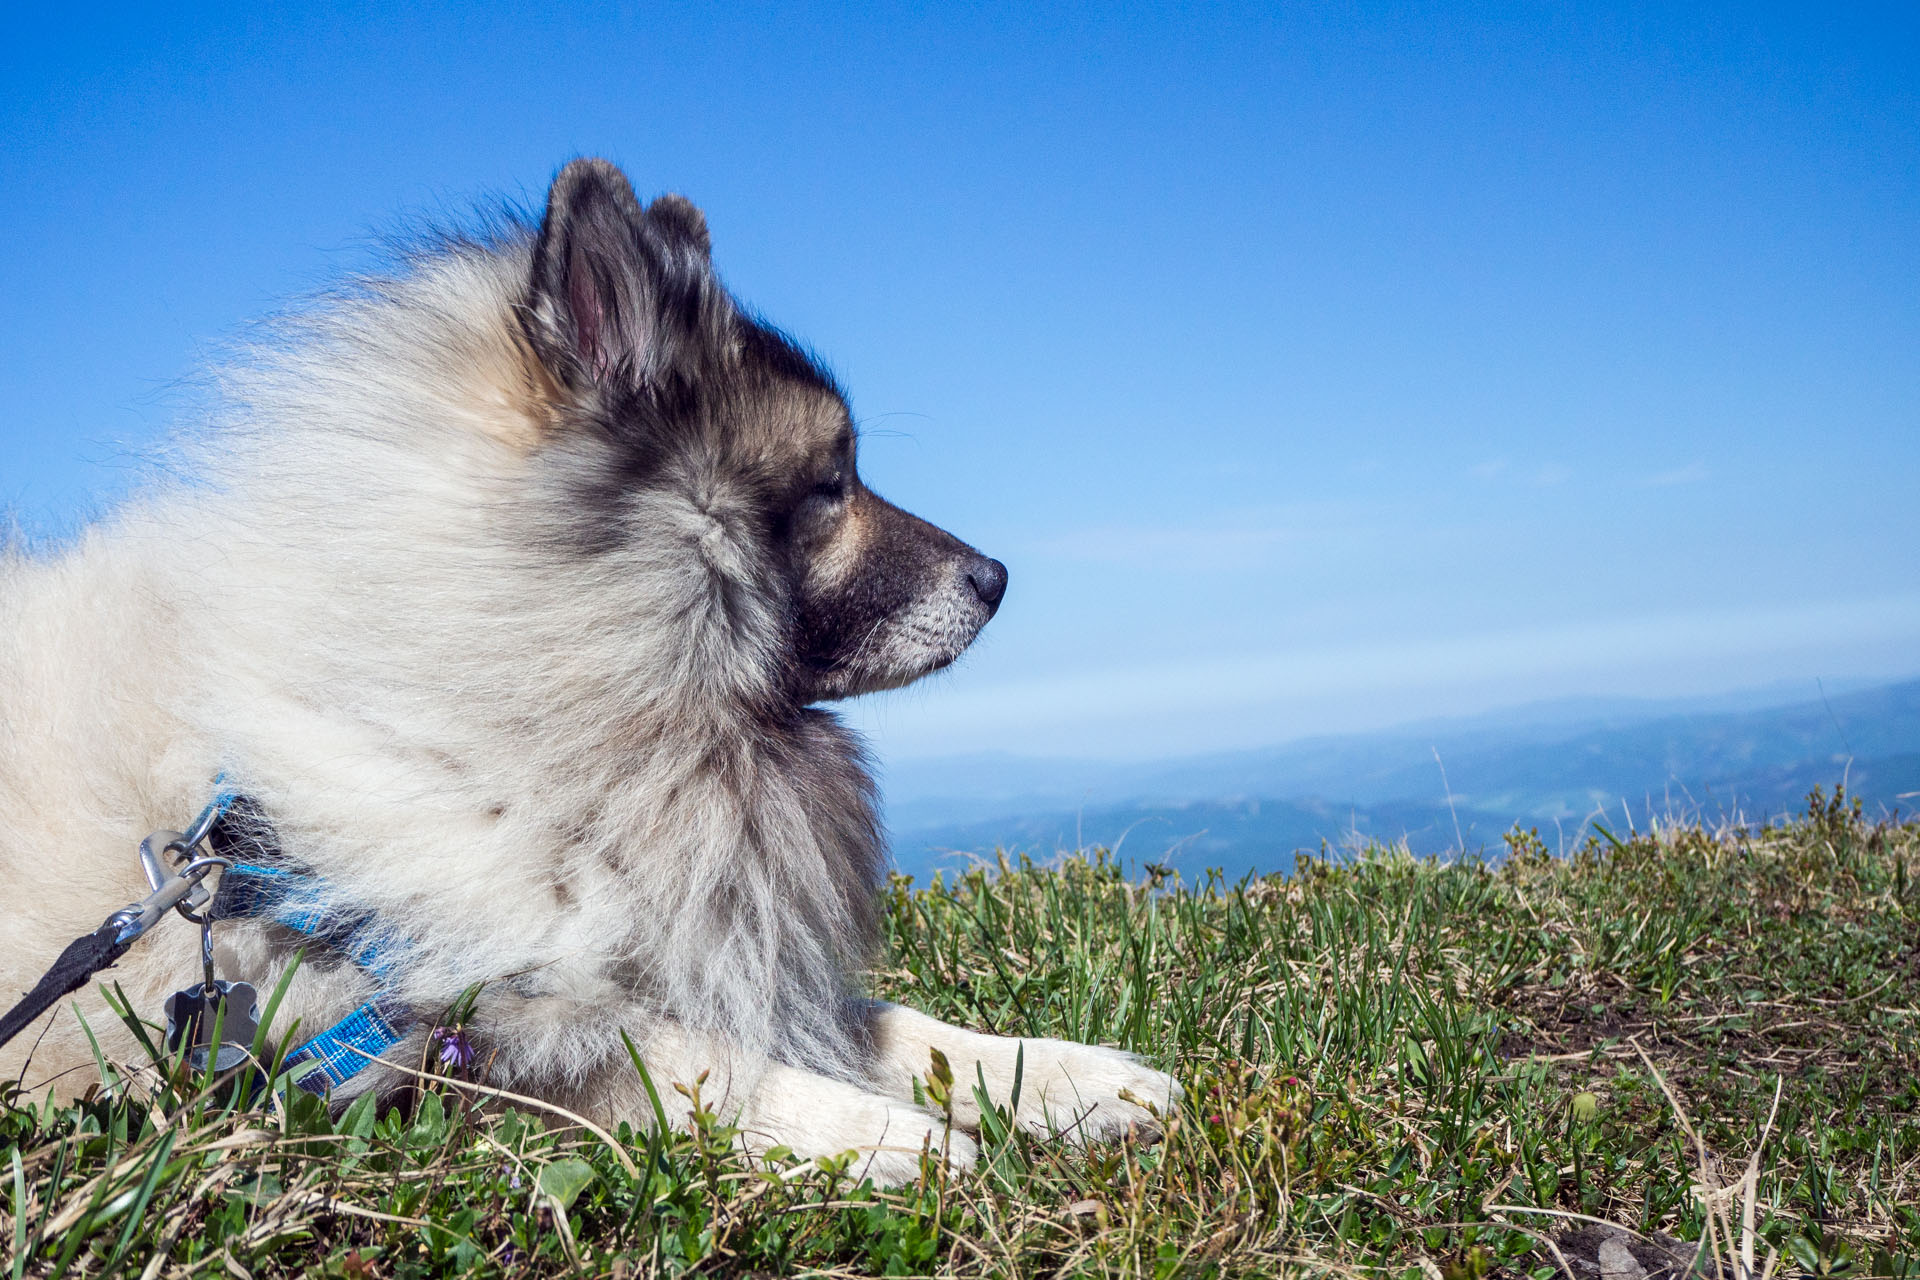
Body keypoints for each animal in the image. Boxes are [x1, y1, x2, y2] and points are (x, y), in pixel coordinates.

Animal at [0, 165, 1175, 1189]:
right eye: (831, 484)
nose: (997, 578)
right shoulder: (461, 1037)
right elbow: (698, 1068)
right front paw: (892, 1137)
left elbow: (905, 1030)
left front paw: (1069, 1078)